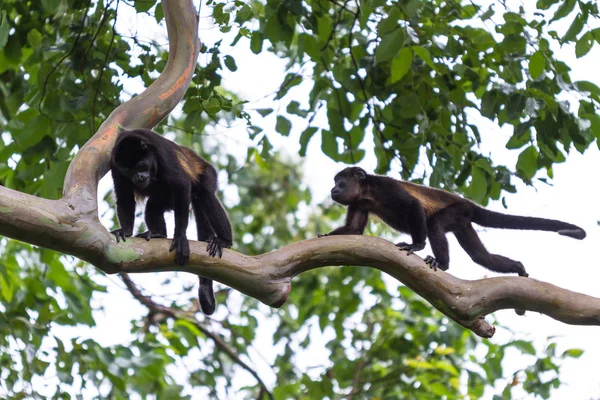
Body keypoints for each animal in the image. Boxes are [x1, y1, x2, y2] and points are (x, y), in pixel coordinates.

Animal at [110, 128, 232, 316]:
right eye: (128, 170)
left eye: (139, 166)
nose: (138, 177)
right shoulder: (115, 165)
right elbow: (124, 198)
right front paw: (126, 230)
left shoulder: (162, 152)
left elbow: (181, 183)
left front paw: (180, 237)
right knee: (152, 207)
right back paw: (158, 234)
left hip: (208, 173)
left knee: (205, 193)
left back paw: (224, 240)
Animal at [322, 167, 584, 276]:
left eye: (339, 180)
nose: (333, 188)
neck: (366, 191)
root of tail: (468, 203)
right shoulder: (358, 202)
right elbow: (354, 228)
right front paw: (324, 237)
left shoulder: (384, 186)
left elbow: (413, 206)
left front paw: (416, 245)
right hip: (463, 222)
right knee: (481, 256)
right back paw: (517, 267)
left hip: (457, 211)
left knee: (435, 225)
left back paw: (442, 263)